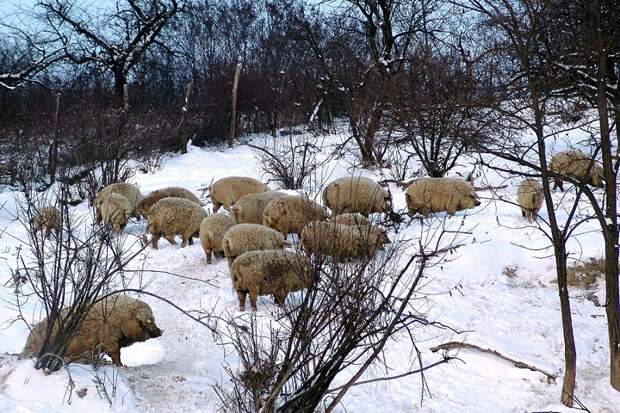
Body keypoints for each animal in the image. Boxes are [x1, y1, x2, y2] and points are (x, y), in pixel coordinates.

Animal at [21, 292, 162, 366]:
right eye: (150, 320)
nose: (161, 331)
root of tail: (27, 345)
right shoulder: (108, 336)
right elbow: (115, 352)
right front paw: (121, 366)